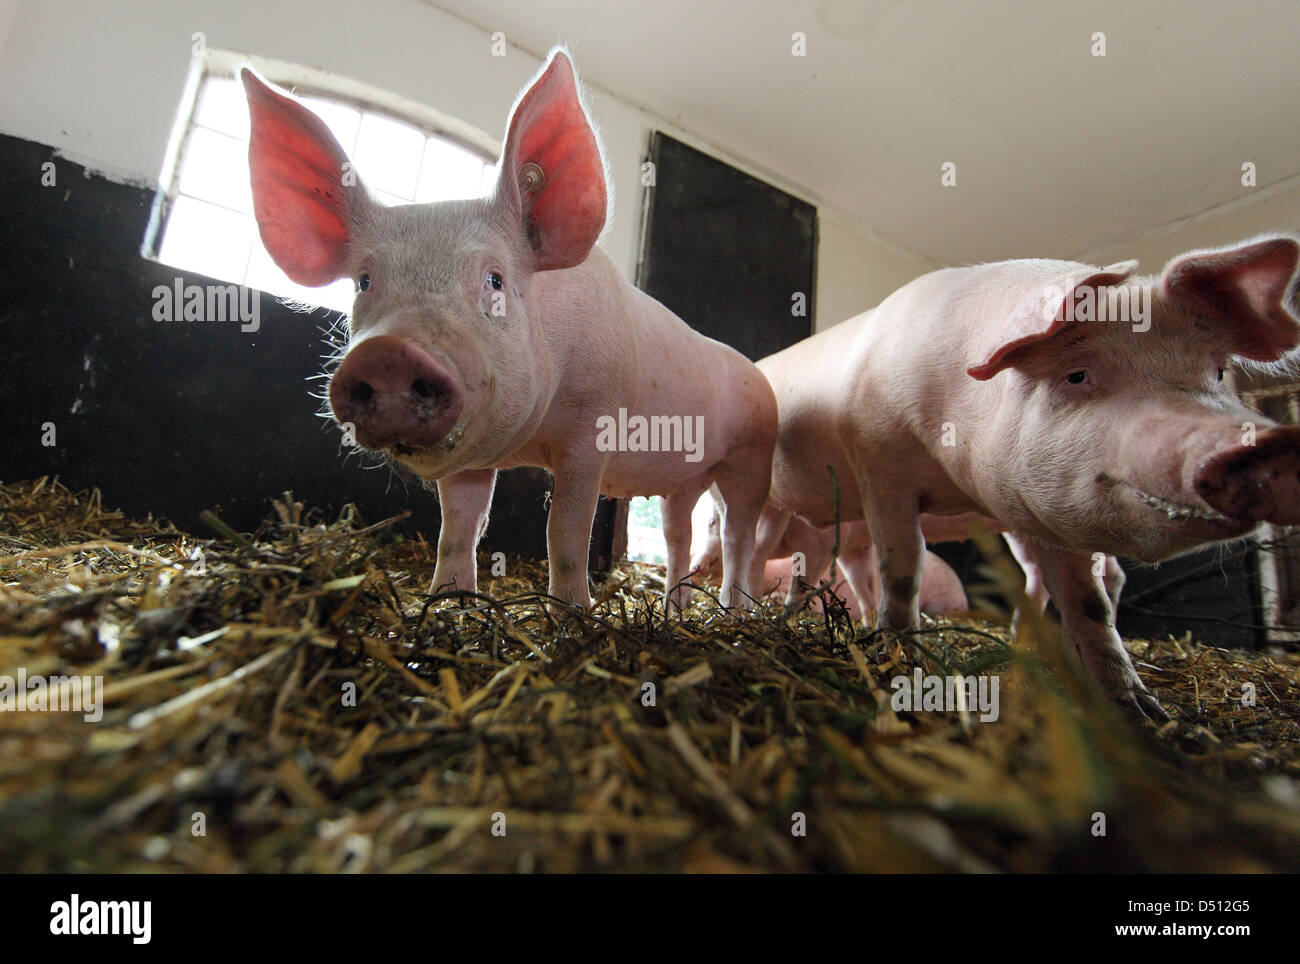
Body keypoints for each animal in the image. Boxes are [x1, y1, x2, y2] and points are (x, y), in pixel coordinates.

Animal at [239, 50, 774, 602]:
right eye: (364, 281)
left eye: (494, 280)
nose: (388, 352)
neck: (530, 442)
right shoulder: (472, 454)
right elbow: (458, 527)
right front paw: (447, 600)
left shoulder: (594, 425)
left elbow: (564, 530)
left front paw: (572, 611)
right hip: (689, 480)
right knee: (679, 532)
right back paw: (676, 607)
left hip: (753, 458)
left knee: (738, 535)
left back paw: (735, 609)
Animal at [754, 239, 1300, 722]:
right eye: (1077, 375)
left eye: (1220, 372)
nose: (1262, 444)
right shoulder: (879, 463)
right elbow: (905, 566)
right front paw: (905, 662)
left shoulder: (1055, 507)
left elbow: (1089, 603)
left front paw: (1144, 713)